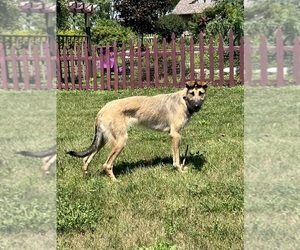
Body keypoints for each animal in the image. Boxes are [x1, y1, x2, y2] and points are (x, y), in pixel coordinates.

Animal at [67, 80, 207, 180]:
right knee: (107, 165)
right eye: (191, 93)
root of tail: (102, 110)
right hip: (120, 141)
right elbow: (176, 159)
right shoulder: (175, 135)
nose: (197, 106)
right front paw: (180, 171)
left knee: (86, 158)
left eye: (201, 93)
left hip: (102, 140)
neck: (184, 101)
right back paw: (115, 181)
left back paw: (86, 176)